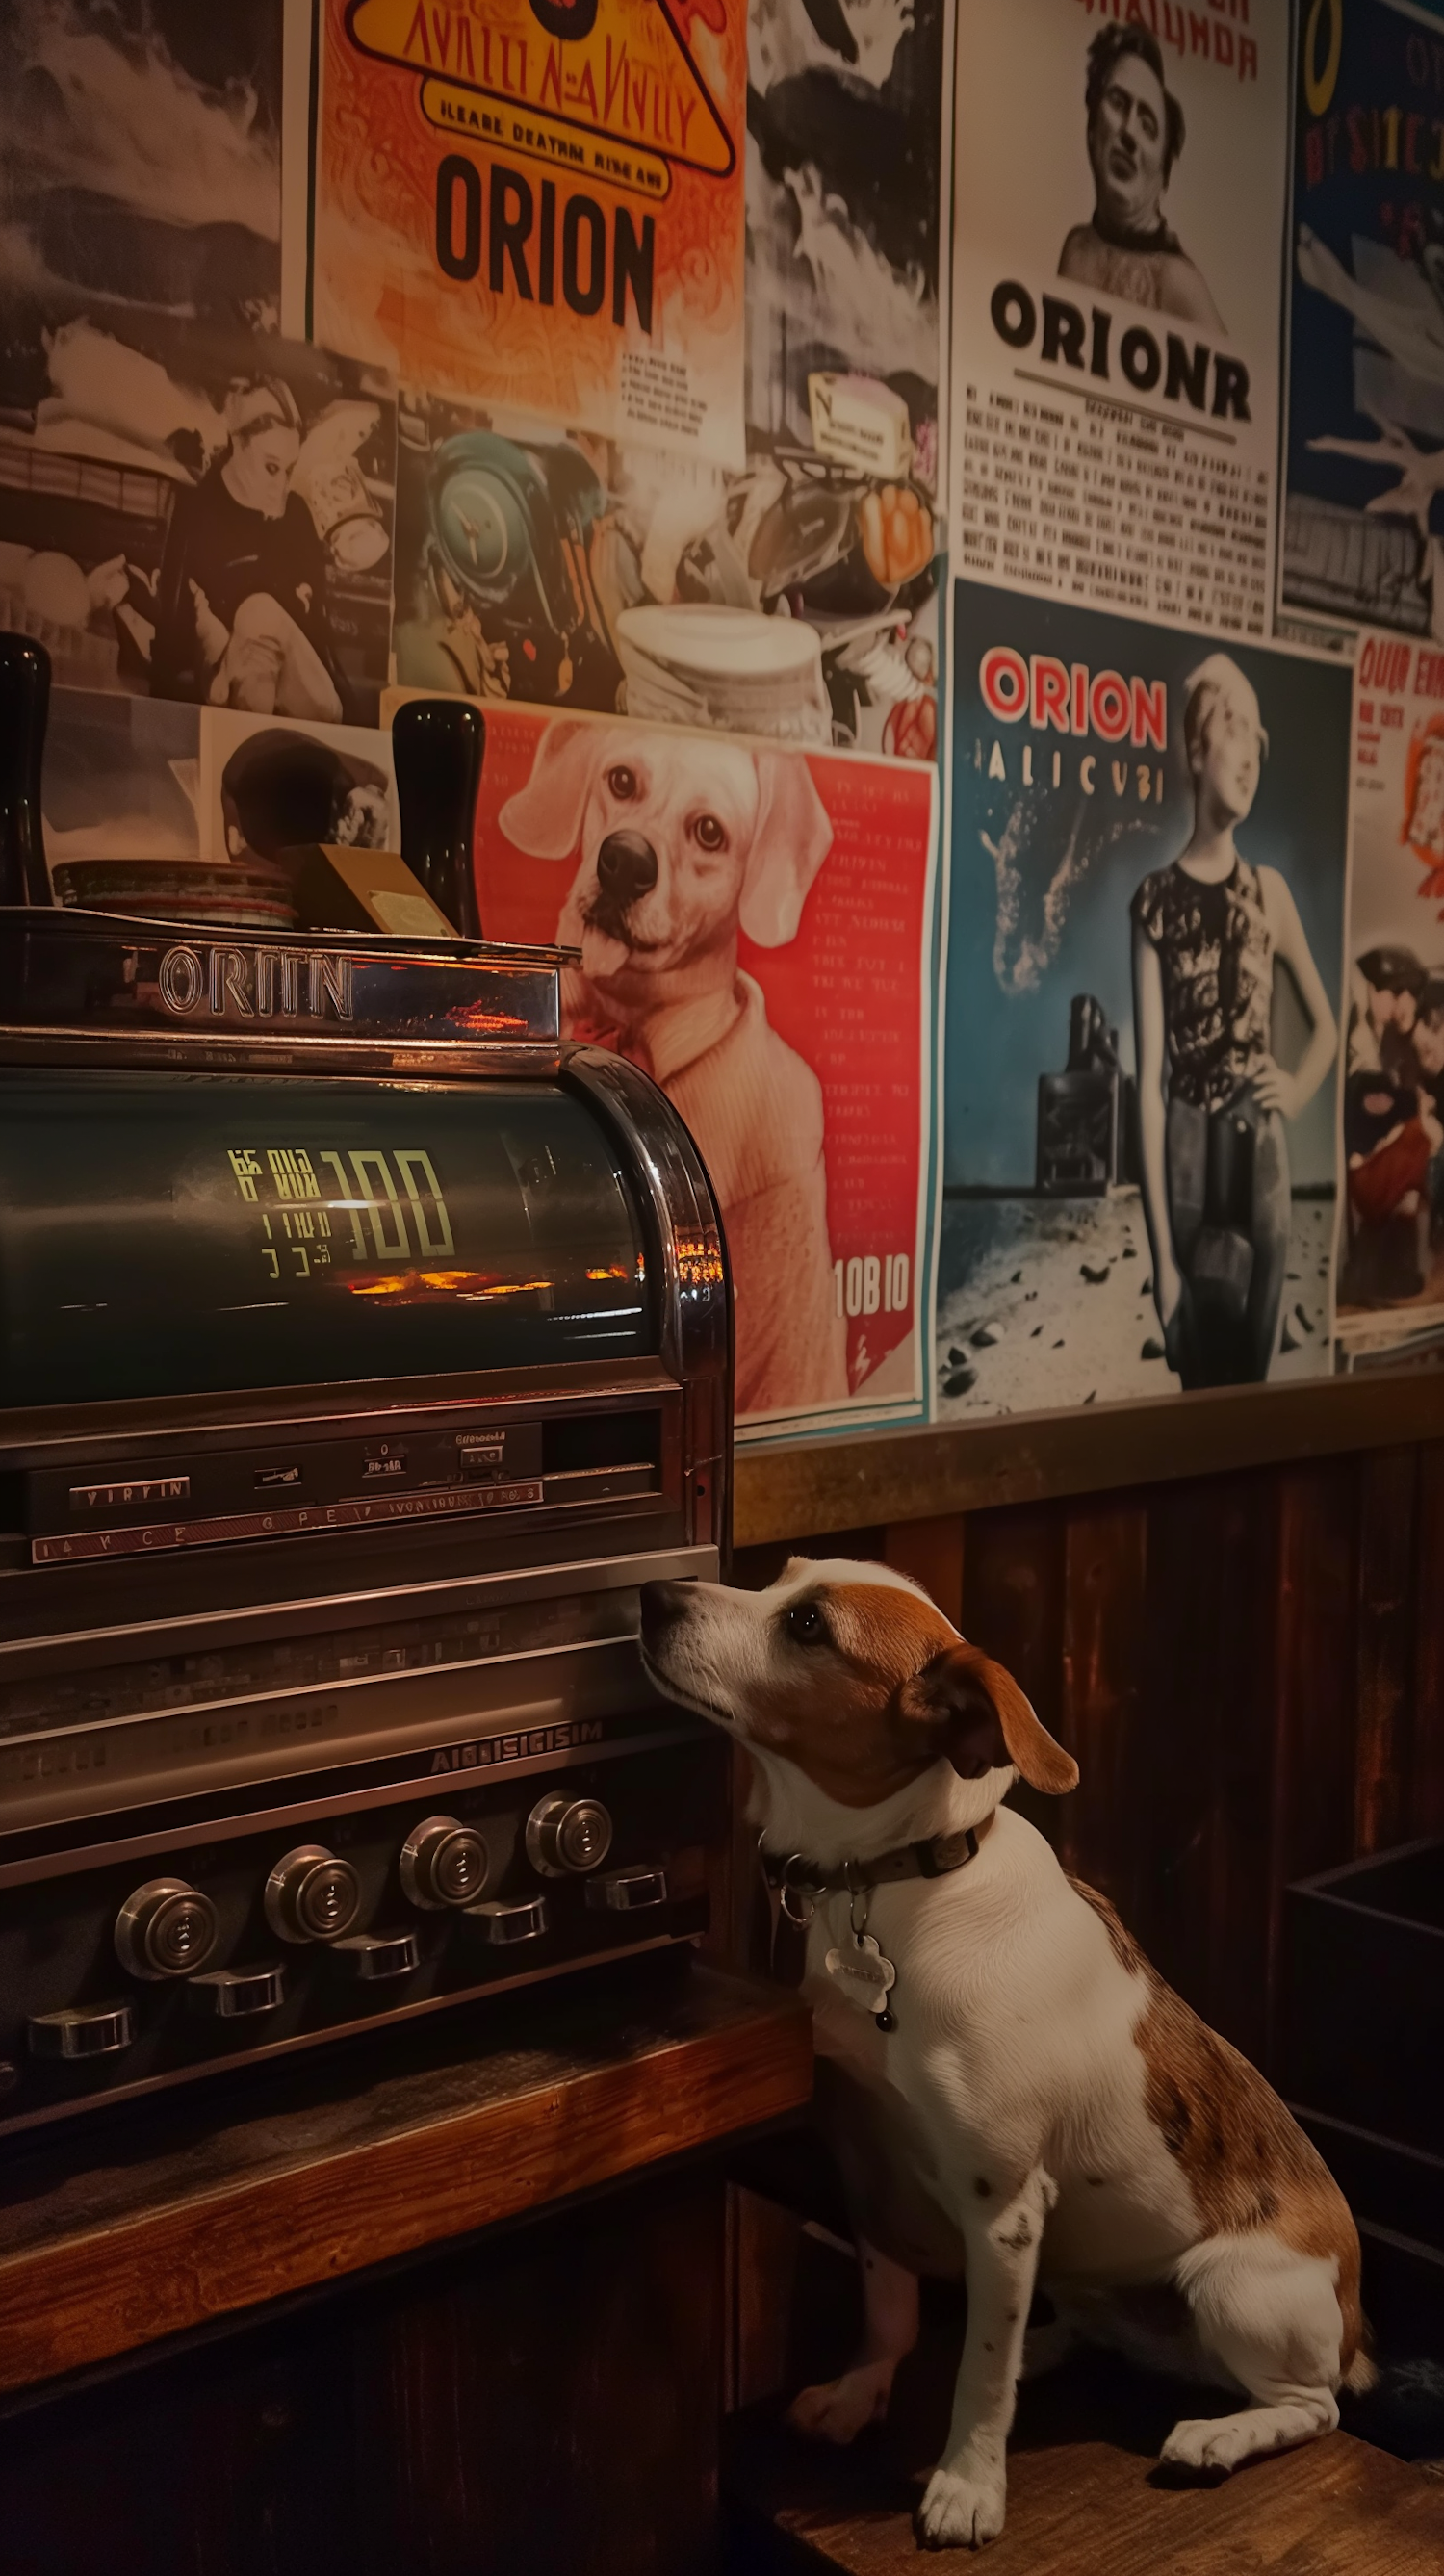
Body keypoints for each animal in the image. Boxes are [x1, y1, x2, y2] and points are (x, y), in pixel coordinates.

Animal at [635, 1556, 1369, 2544]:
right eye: (782, 1581)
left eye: (809, 1627)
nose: (652, 1596)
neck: (905, 1885)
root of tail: (1356, 2319)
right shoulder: (868, 2160)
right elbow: (892, 2310)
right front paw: (860, 2393)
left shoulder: (1003, 2206)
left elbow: (977, 2374)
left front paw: (968, 2484)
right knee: (1079, 2324)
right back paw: (1049, 2344)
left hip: (1231, 2288)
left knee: (1312, 2405)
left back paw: (1218, 2435)